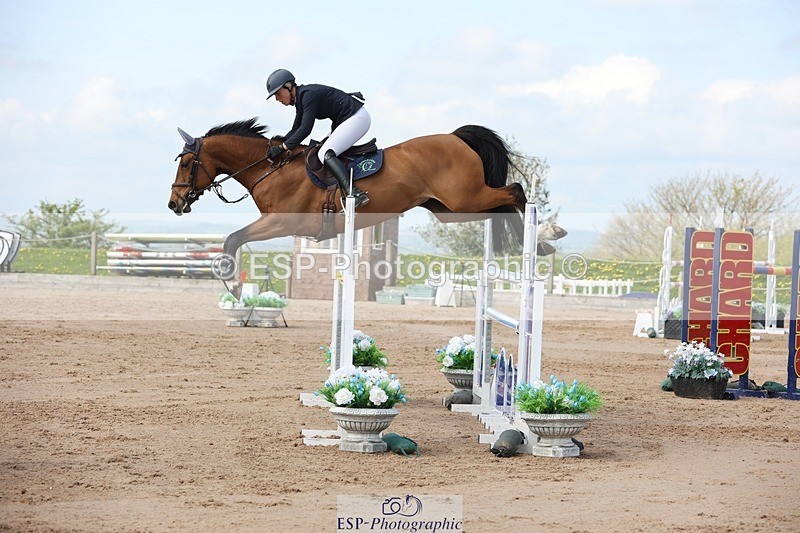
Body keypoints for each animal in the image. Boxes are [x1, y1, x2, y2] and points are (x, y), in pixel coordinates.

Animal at [168, 118, 564, 279]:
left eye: (186, 163)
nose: (174, 204)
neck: (271, 166)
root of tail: (455, 137)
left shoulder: (280, 222)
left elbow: (233, 238)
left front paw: (229, 278)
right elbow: (234, 238)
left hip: (464, 198)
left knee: (514, 191)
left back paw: (546, 235)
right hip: (451, 209)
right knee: (501, 203)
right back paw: (540, 244)